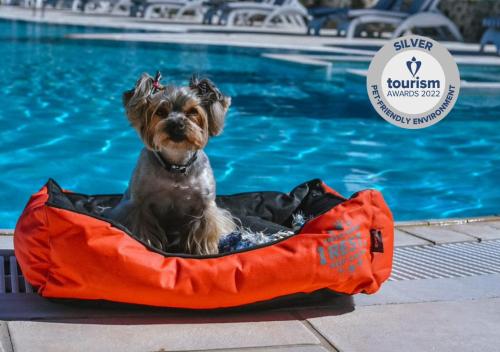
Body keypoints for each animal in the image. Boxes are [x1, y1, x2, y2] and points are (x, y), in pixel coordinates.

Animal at [106, 71, 235, 254]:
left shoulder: (205, 207)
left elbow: (203, 234)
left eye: (193, 111)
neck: (175, 165)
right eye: (160, 111)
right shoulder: (139, 205)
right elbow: (143, 229)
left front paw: (205, 252)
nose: (177, 124)